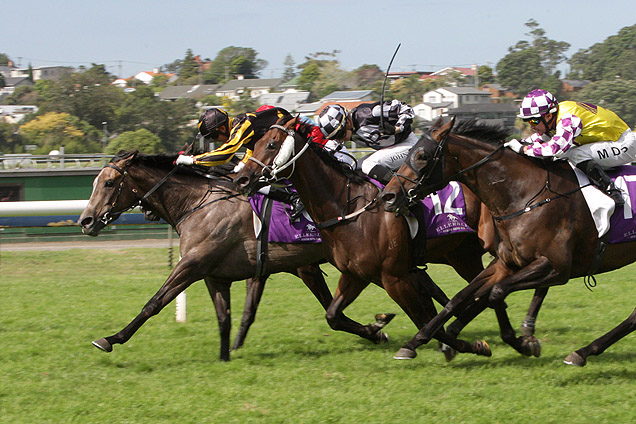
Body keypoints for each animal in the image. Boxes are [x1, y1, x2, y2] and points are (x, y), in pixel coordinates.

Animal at [77, 151, 396, 360]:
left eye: (108, 183)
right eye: (93, 182)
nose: (86, 221)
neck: (199, 204)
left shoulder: (192, 266)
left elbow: (154, 303)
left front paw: (110, 339)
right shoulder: (217, 275)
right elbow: (227, 317)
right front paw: (225, 356)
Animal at [380, 117, 636, 366]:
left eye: (422, 156)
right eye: (409, 152)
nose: (388, 196)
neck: (525, 195)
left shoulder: (557, 267)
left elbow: (496, 293)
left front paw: (521, 342)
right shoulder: (506, 263)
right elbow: (461, 297)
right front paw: (416, 342)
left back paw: (582, 351)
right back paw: (585, 351)